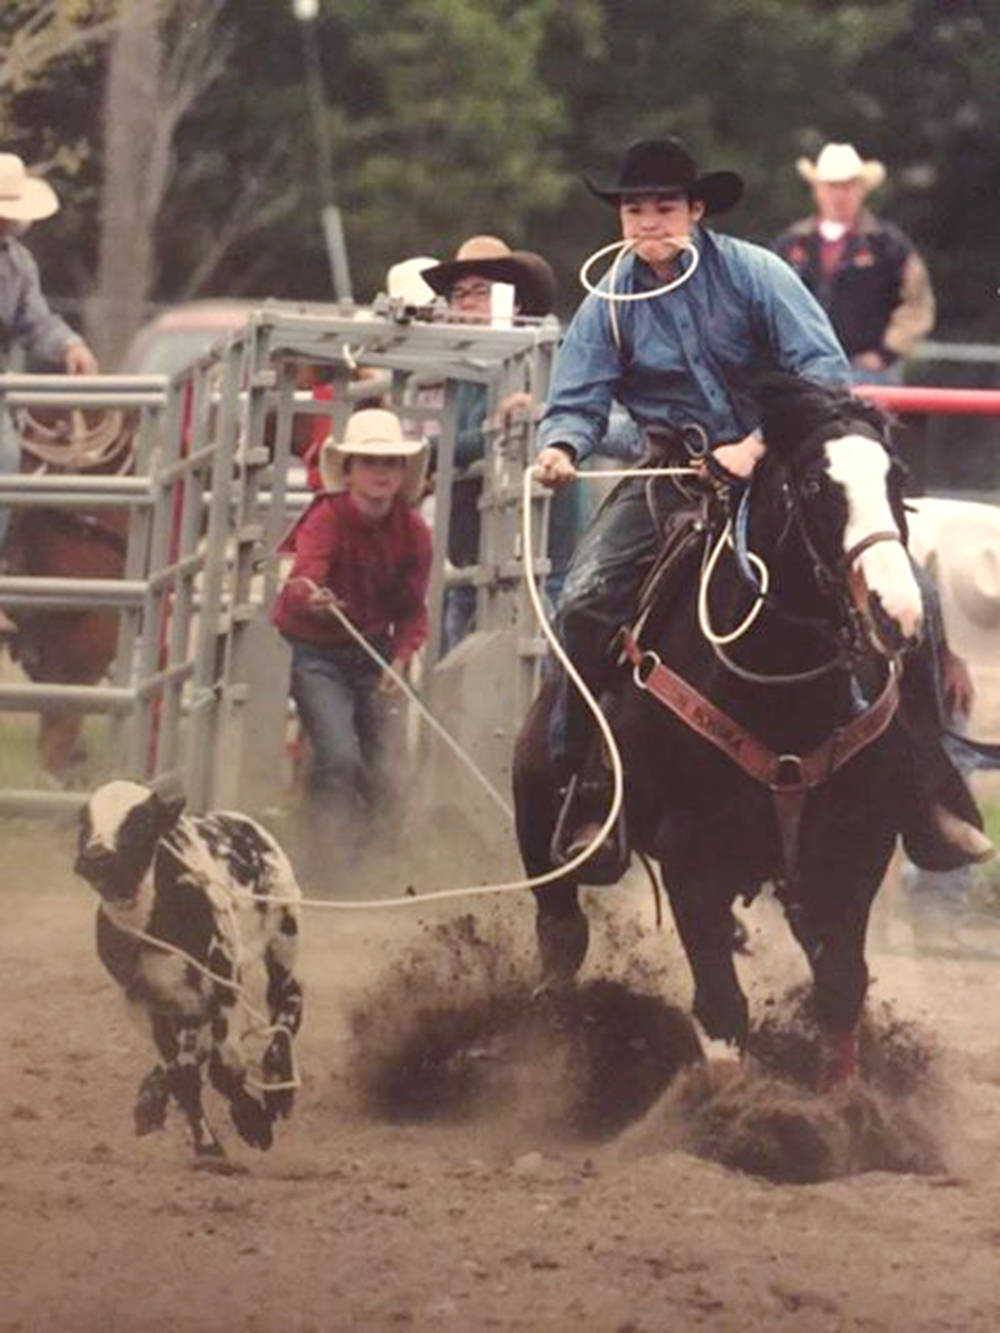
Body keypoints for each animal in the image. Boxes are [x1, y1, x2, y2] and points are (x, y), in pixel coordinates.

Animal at [75, 778, 305, 1167]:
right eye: (85, 823)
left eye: (141, 821)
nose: (95, 857)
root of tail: (247, 825)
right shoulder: (142, 1002)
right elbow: (182, 1072)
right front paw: (207, 1145)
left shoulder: (223, 987)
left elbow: (224, 1067)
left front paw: (253, 1124)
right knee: (192, 1053)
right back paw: (151, 1101)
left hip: (283, 942)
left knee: (287, 1003)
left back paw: (278, 1086)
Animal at [517, 373, 933, 1082]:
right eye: (816, 485)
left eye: (897, 477)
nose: (896, 611)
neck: (785, 695)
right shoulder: (692, 862)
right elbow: (721, 1014)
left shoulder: (854, 854)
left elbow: (841, 992)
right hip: (540, 831)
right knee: (562, 933)